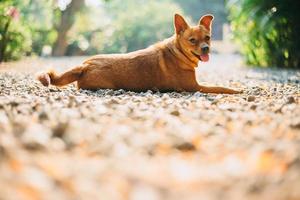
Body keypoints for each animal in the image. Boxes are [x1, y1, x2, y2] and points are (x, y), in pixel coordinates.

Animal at [38, 14, 241, 94]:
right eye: (192, 40)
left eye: (208, 38)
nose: (206, 48)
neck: (178, 52)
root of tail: (84, 65)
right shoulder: (195, 87)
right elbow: (220, 87)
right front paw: (237, 90)